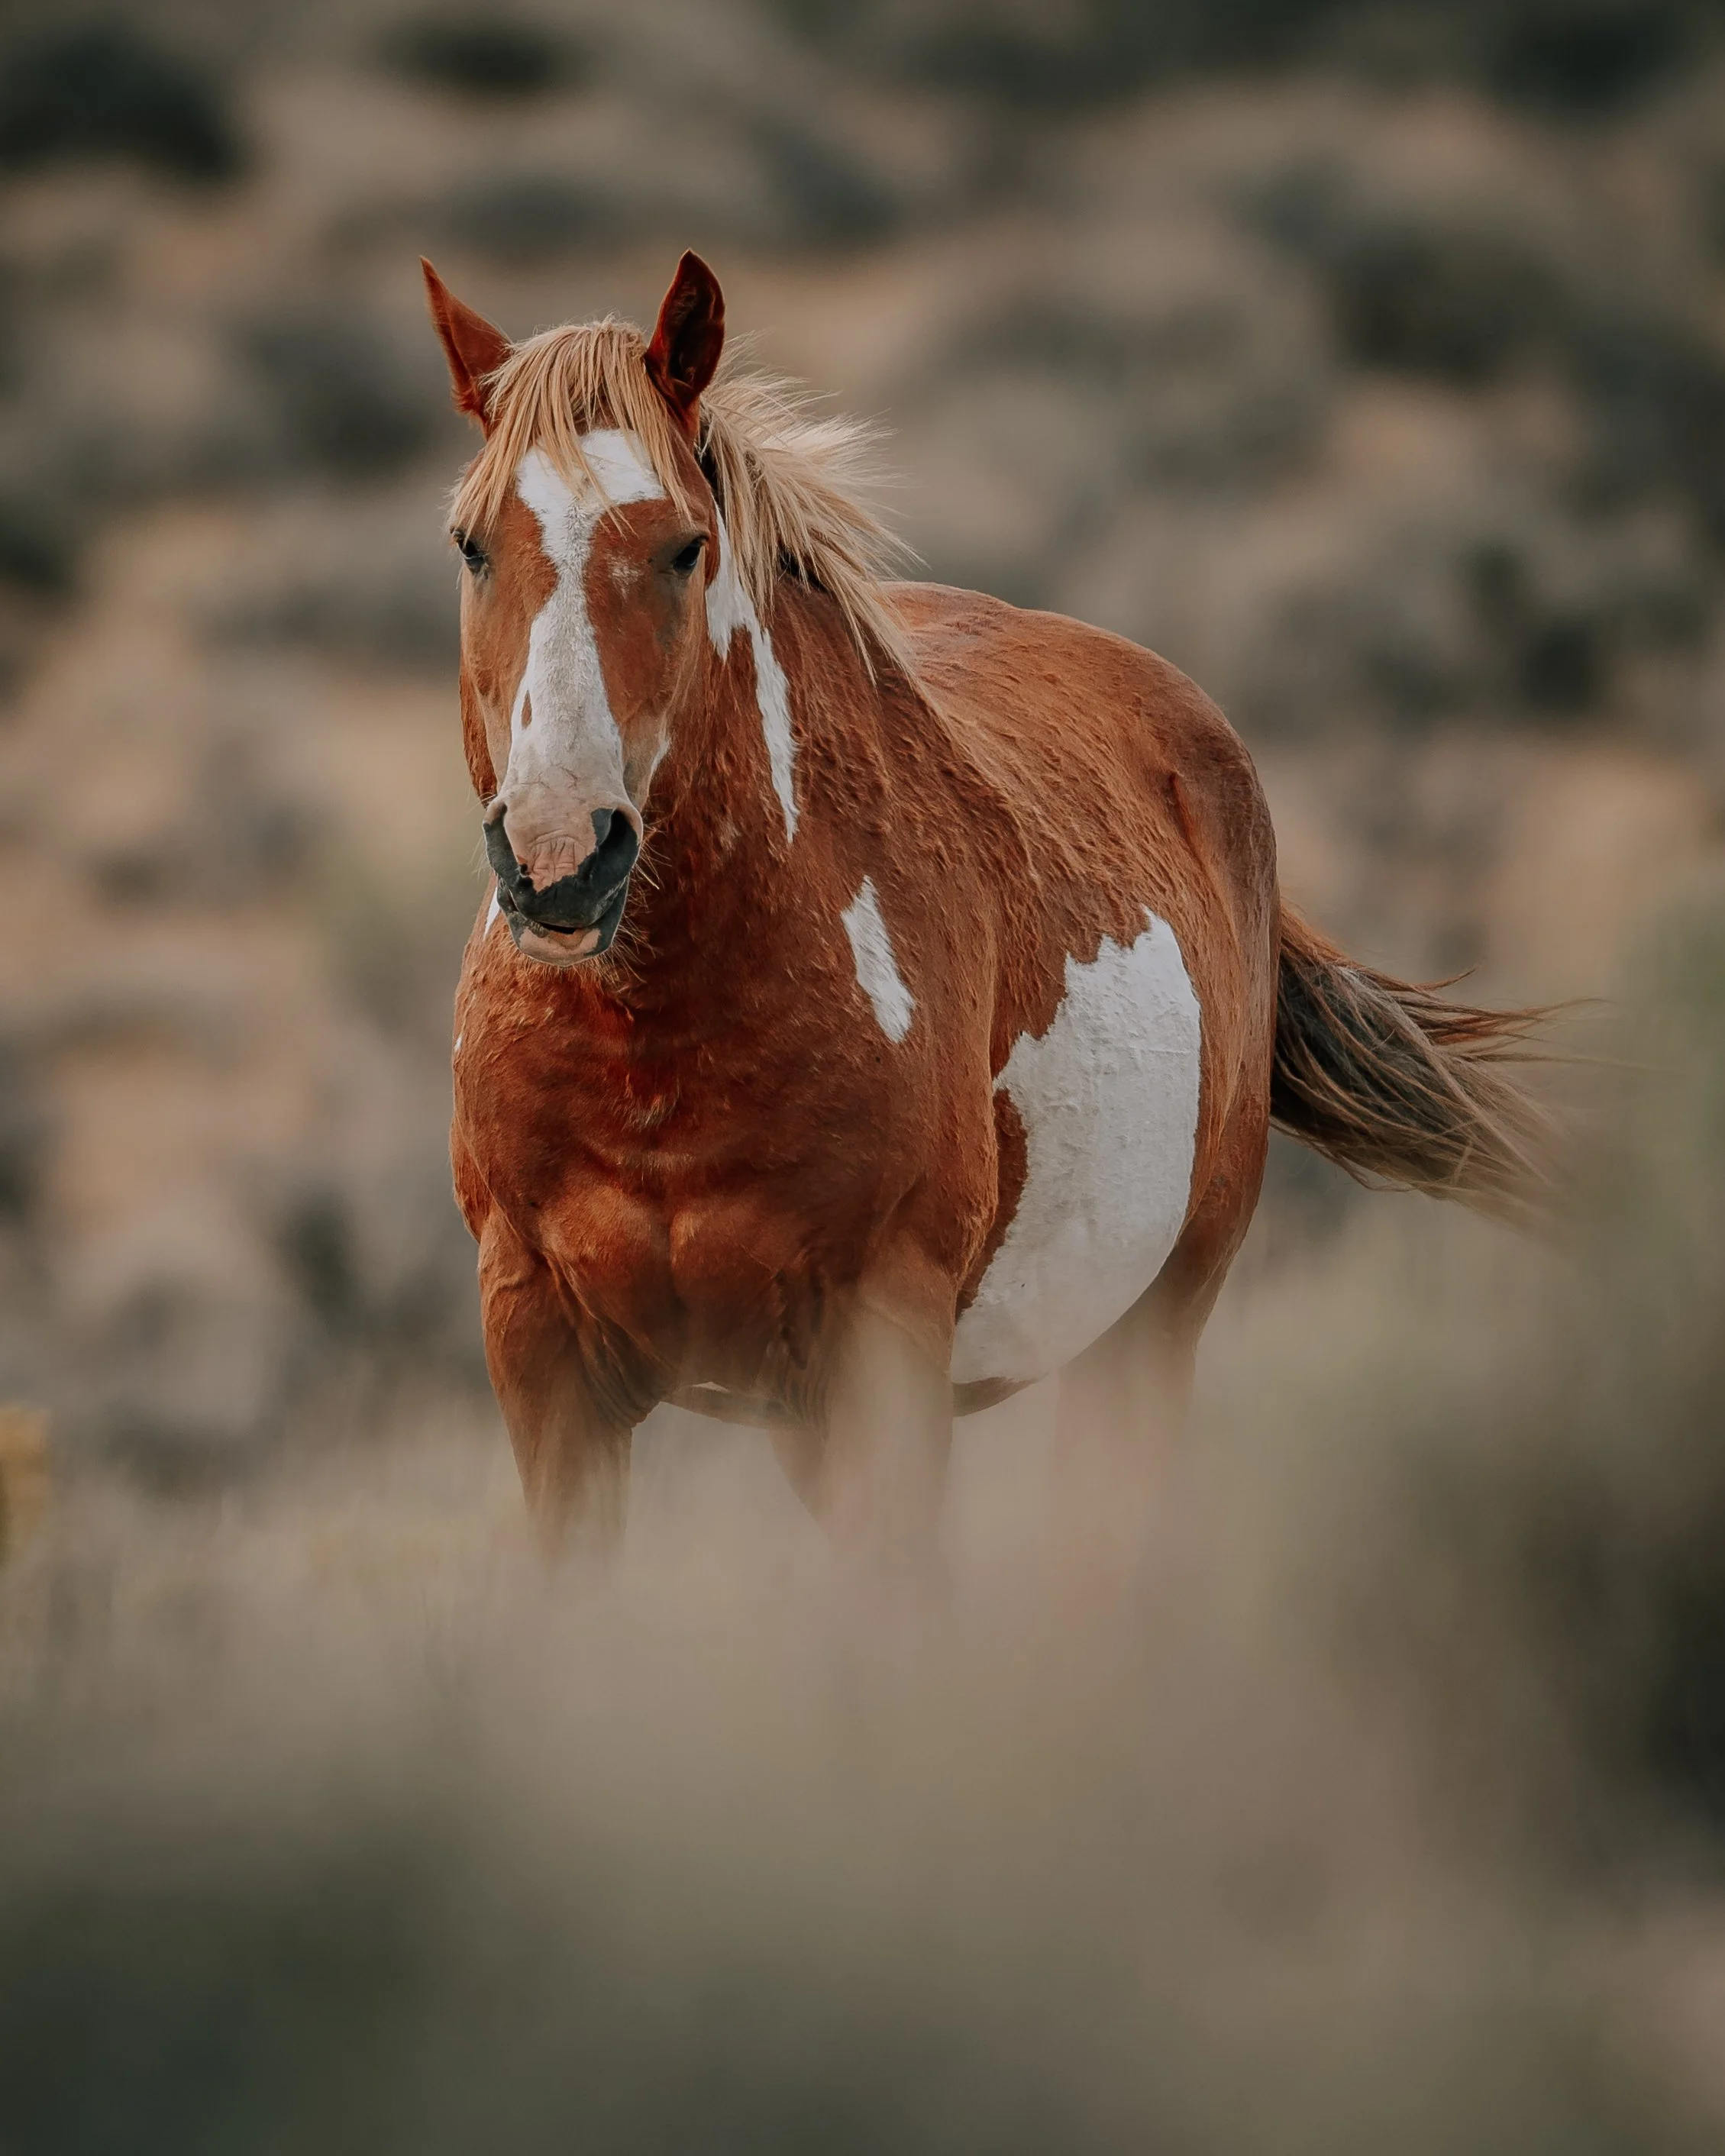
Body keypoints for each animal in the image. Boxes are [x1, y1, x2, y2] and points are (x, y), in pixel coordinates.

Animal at [422, 249, 1547, 1565]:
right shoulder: (543, 1360)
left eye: (684, 548)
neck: (655, 1054)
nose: (561, 860)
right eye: (471, 547)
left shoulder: (884, 1357)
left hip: (1146, 1332)